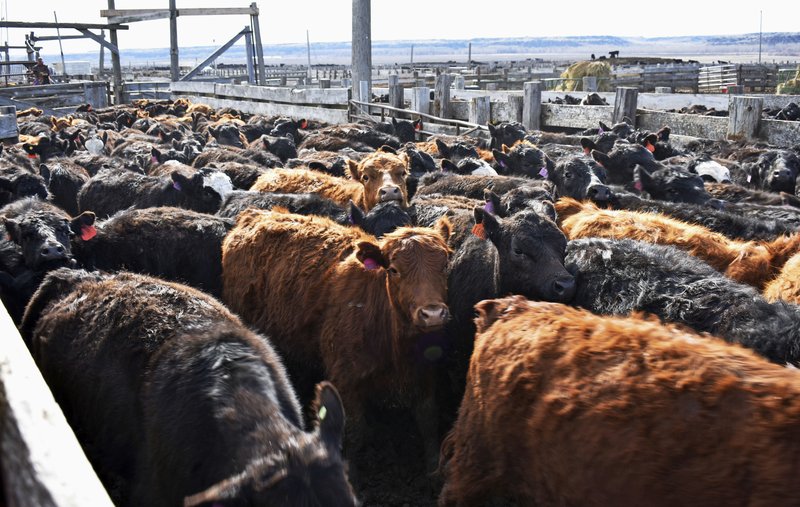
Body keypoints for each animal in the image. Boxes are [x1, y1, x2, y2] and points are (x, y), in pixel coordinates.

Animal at [222, 208, 454, 470]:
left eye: (445, 264)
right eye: (394, 270)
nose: (432, 313)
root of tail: (256, 214)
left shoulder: (425, 374)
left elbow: (428, 420)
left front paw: (434, 468)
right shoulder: (345, 380)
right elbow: (355, 432)